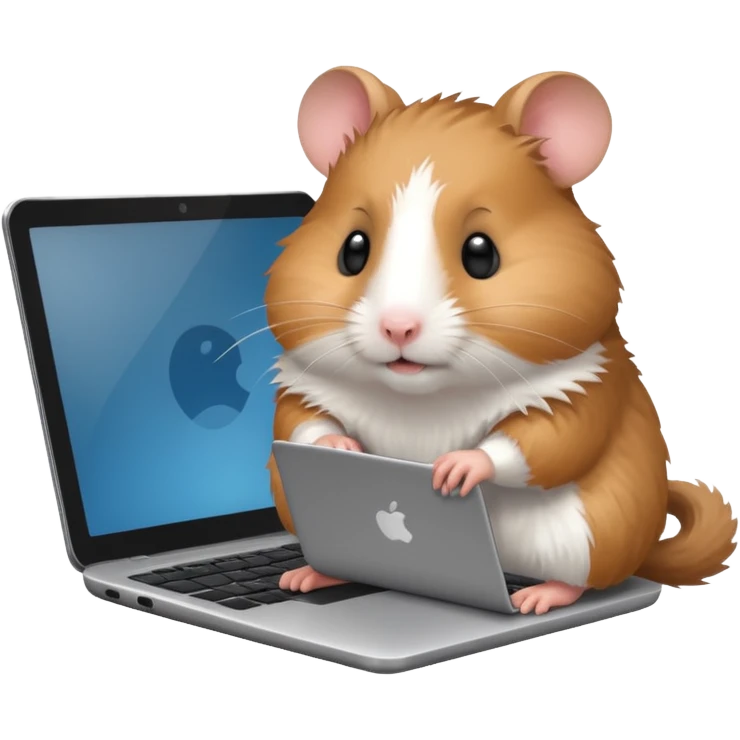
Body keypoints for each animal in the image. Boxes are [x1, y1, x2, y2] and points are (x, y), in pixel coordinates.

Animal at [265, 65, 738, 615]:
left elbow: (549, 440)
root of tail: (641, 550)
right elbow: (300, 423)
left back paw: (540, 596)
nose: (398, 327)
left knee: (583, 579)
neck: (421, 398)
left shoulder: (582, 386)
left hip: (587, 534)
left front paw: (456, 468)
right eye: (352, 249)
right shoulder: (301, 387)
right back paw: (310, 575)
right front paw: (344, 445)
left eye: (481, 253)